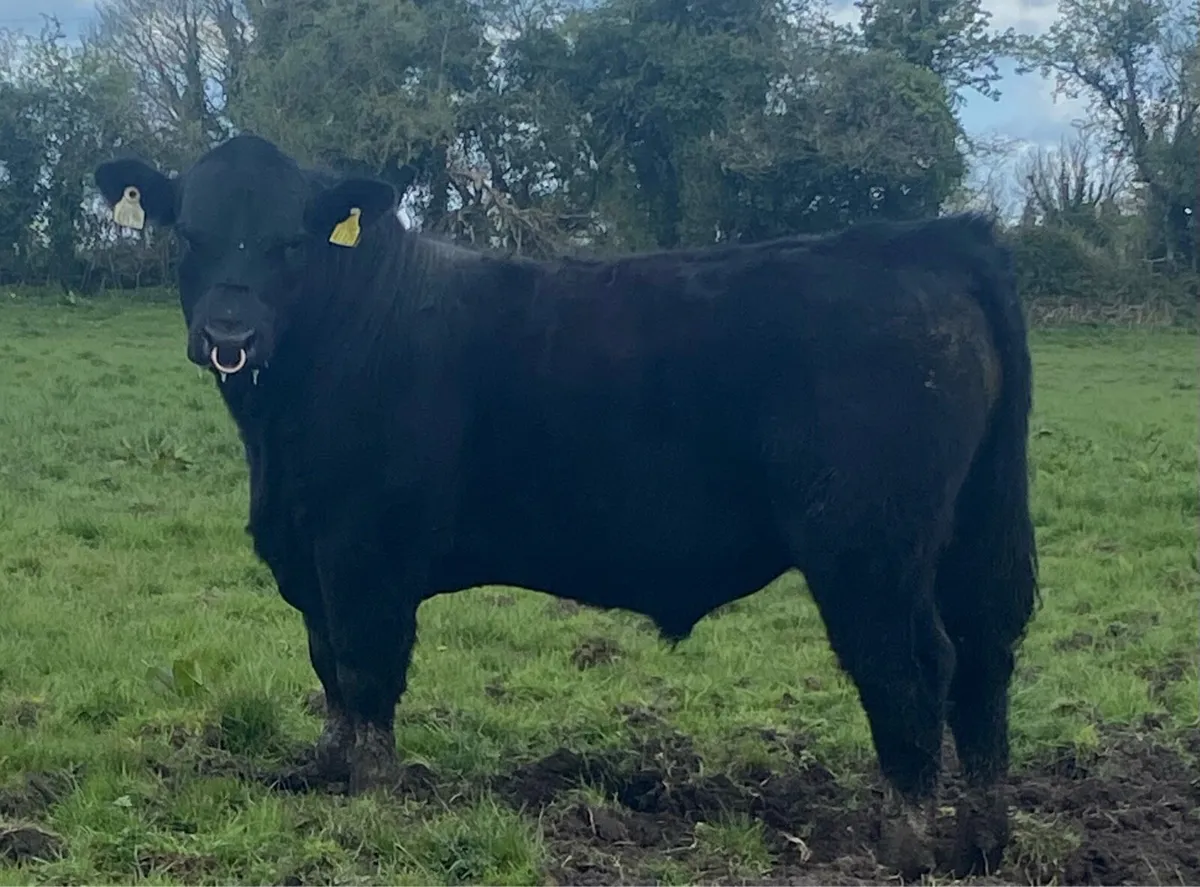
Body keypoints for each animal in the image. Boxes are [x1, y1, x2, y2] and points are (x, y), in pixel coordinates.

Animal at [95, 133, 1038, 880]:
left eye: (291, 242)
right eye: (189, 236)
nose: (230, 336)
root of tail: (931, 241)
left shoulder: (363, 550)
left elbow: (364, 669)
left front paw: (372, 796)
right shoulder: (308, 549)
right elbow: (327, 665)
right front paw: (325, 769)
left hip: (866, 546)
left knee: (913, 666)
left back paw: (906, 846)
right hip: (969, 529)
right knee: (985, 657)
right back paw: (982, 839)